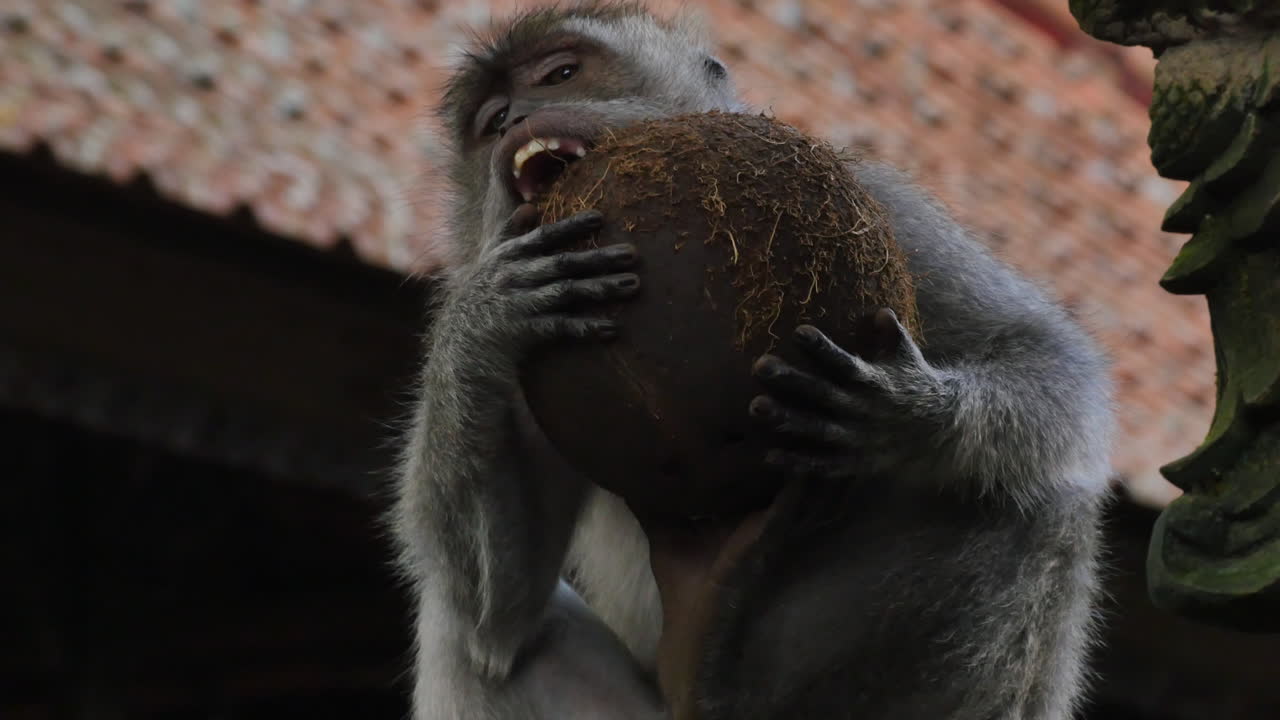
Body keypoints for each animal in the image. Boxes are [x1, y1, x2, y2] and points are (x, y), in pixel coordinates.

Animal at [390, 3, 1114, 719]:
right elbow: (496, 623)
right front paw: (489, 312)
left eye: (560, 74)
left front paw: (910, 418)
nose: (514, 118)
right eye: (490, 121)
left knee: (1032, 505)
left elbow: (1045, 358)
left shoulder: (882, 203)